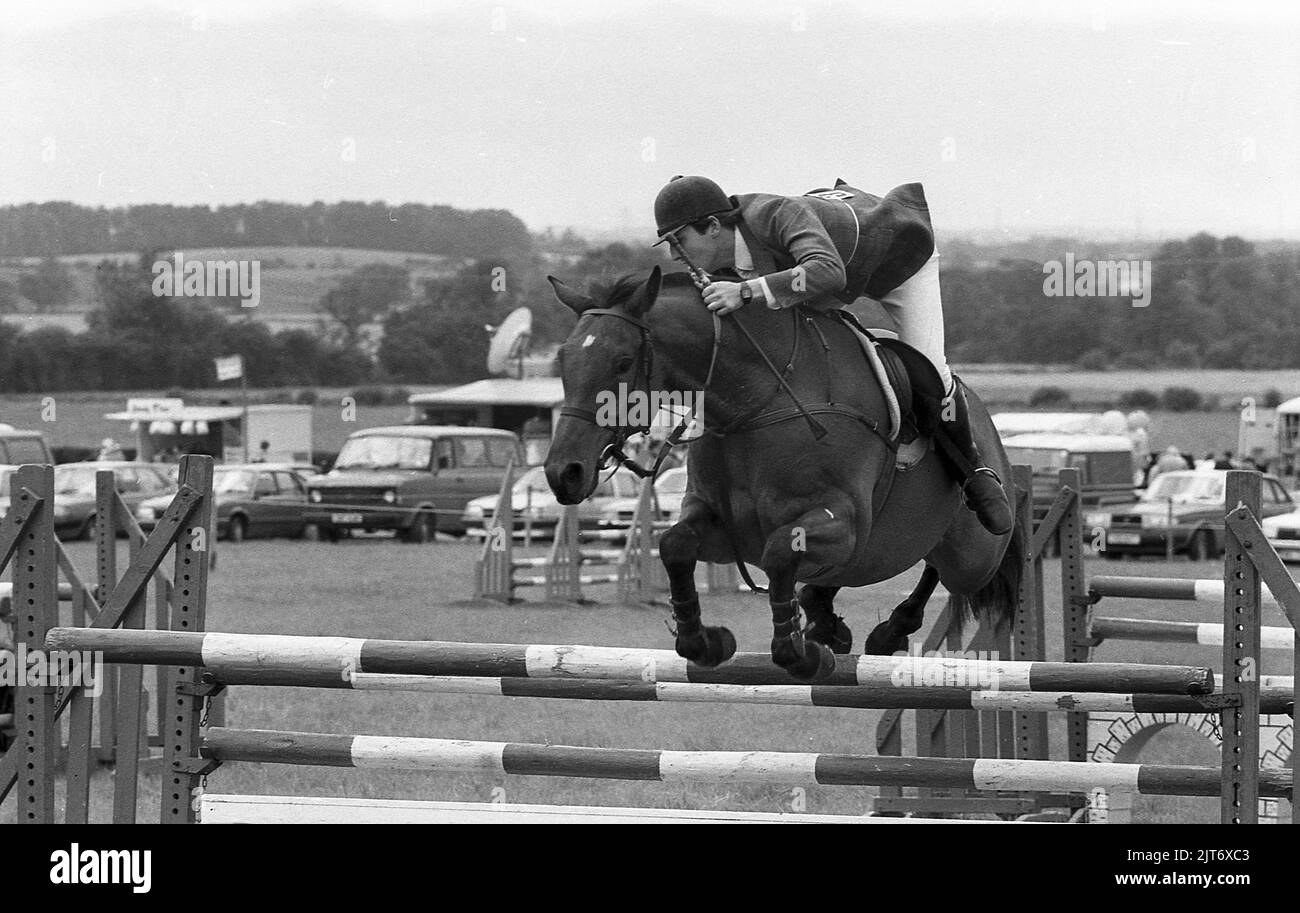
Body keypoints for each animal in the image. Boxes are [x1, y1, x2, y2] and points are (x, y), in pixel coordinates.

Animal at [543, 267, 1019, 681]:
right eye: (562, 360)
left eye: (623, 362)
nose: (563, 472)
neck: (755, 404)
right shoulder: (725, 530)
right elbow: (675, 545)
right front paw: (707, 642)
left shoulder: (841, 524)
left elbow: (781, 554)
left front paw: (802, 654)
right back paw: (828, 621)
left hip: (972, 557)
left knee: (944, 571)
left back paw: (892, 626)